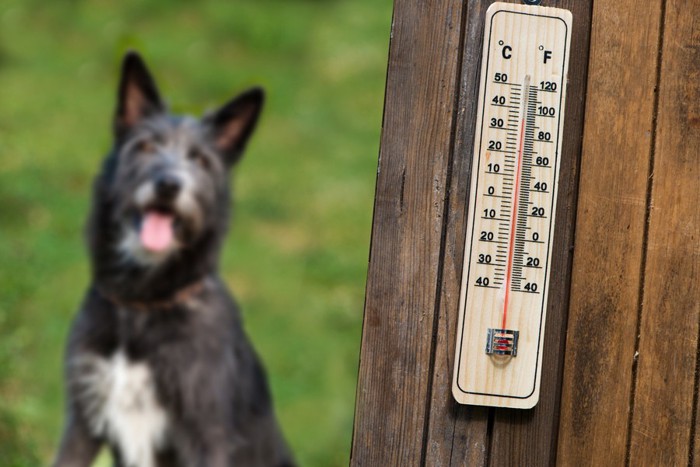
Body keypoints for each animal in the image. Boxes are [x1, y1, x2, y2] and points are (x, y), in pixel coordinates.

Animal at [53, 53, 294, 466]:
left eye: (199, 159)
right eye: (146, 146)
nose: (169, 185)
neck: (142, 305)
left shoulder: (206, 437)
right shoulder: (83, 419)